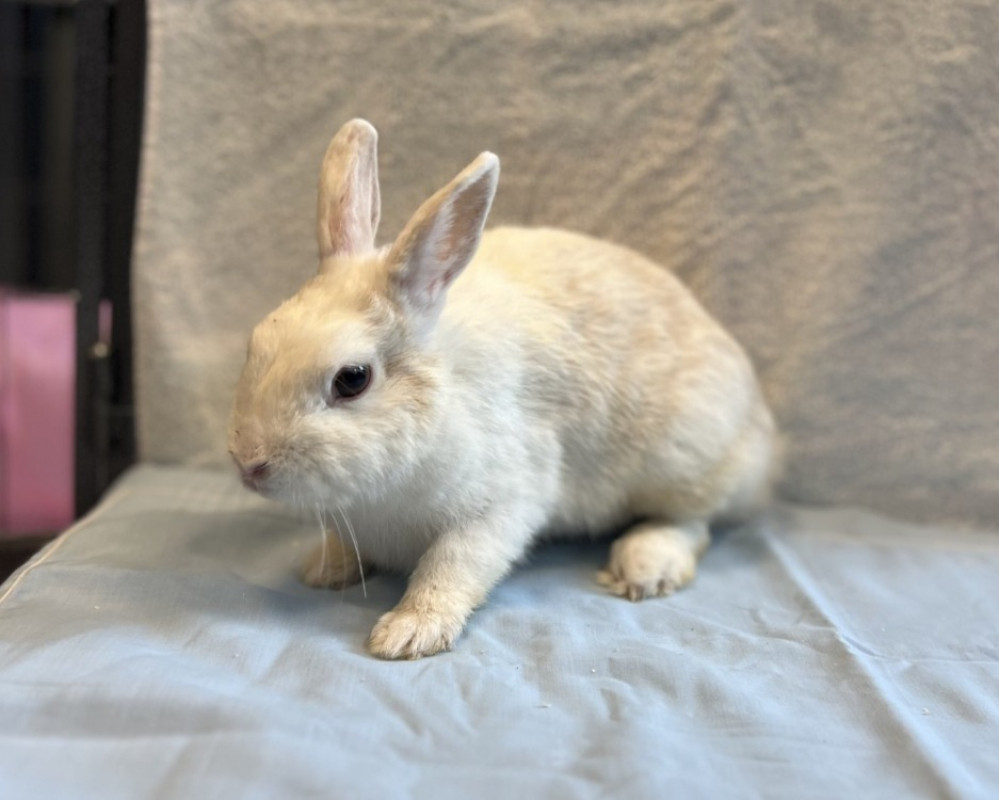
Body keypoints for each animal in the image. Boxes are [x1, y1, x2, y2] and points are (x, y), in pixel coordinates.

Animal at [228, 119, 780, 660]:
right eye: (255, 343)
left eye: (352, 379)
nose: (250, 464)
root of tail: (763, 432)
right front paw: (323, 568)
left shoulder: (501, 504)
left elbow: (453, 566)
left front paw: (408, 633)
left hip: (684, 459)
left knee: (693, 521)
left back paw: (644, 567)